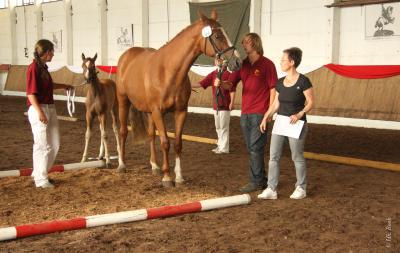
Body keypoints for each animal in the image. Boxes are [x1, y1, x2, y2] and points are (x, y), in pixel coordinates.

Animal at [115, 10, 241, 187]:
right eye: (217, 36)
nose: (237, 61)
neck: (168, 71)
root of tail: (126, 56)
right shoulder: (158, 112)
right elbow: (165, 142)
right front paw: (167, 178)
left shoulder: (180, 112)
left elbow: (177, 143)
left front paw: (179, 176)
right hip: (123, 102)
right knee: (123, 131)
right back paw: (122, 165)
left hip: (149, 111)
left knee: (151, 134)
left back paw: (154, 166)